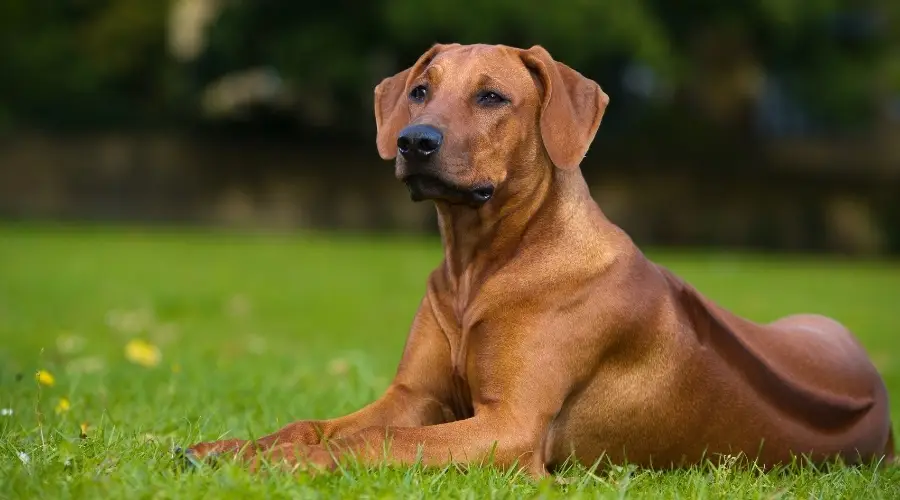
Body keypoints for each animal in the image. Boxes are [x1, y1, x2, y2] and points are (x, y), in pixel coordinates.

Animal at [183, 43, 892, 476]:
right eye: (419, 91)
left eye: (493, 97)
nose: (413, 141)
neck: (480, 267)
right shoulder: (414, 395)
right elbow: (317, 424)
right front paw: (232, 446)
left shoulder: (510, 427)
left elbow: (378, 440)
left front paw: (268, 464)